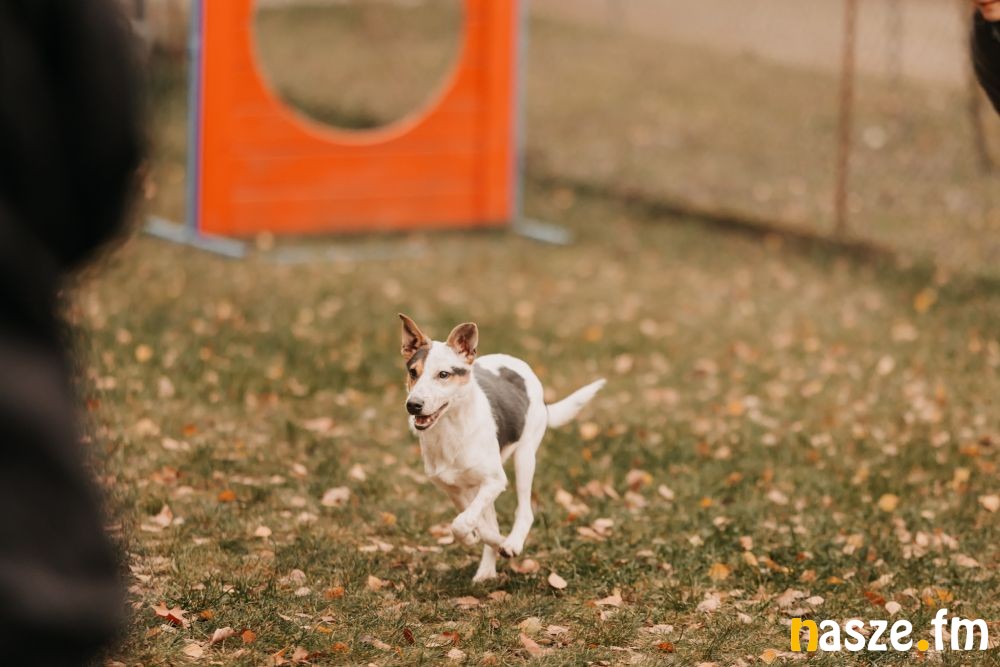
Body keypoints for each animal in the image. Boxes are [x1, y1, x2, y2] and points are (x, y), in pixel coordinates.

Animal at [398, 314, 605, 583]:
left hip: (525, 457)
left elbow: (461, 523)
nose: (413, 405)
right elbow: (475, 525)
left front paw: (504, 544)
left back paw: (512, 542)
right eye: (413, 372)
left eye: (443, 374)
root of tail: (519, 364)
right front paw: (484, 540)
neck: (451, 429)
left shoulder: (495, 480)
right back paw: (488, 568)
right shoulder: (454, 490)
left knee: (525, 511)